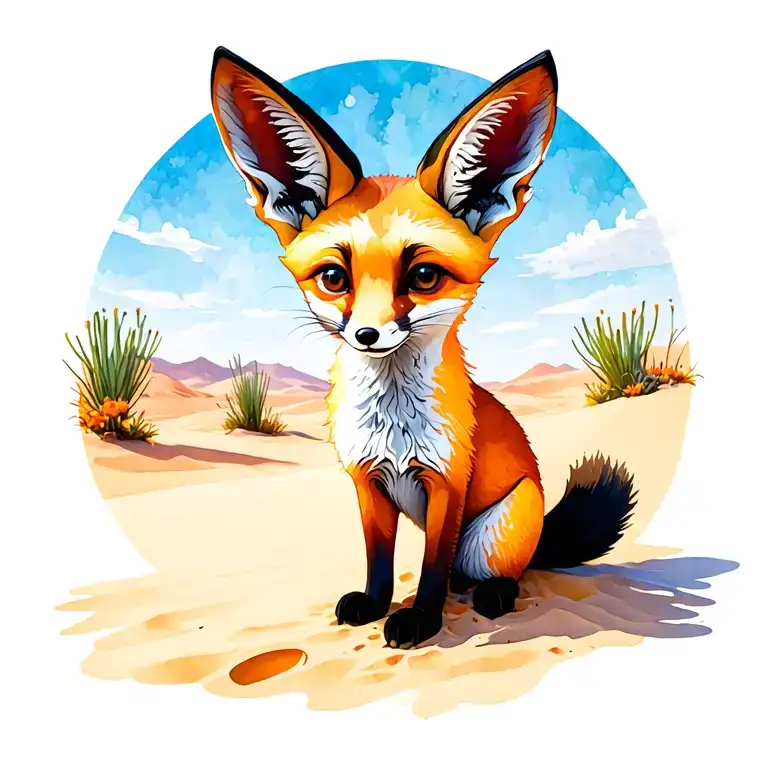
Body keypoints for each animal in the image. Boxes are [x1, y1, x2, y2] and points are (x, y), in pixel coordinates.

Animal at [210, 47, 637, 649]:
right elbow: (380, 559)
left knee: (497, 572)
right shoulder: (367, 481)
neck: (392, 427)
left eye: (424, 276)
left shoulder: (446, 484)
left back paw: (492, 594)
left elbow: (433, 564)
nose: (367, 335)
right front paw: (374, 604)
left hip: (494, 530)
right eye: (334, 278)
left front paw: (421, 620)